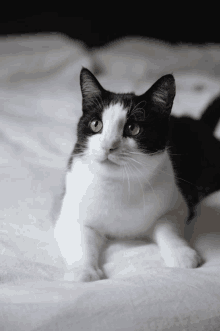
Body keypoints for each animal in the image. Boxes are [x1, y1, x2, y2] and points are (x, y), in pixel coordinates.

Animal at [53, 68, 220, 282]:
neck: (118, 183)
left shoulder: (176, 202)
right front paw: (84, 270)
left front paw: (181, 254)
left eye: (133, 128)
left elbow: (168, 227)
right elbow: (81, 241)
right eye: (96, 124)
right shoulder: (70, 214)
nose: (108, 146)